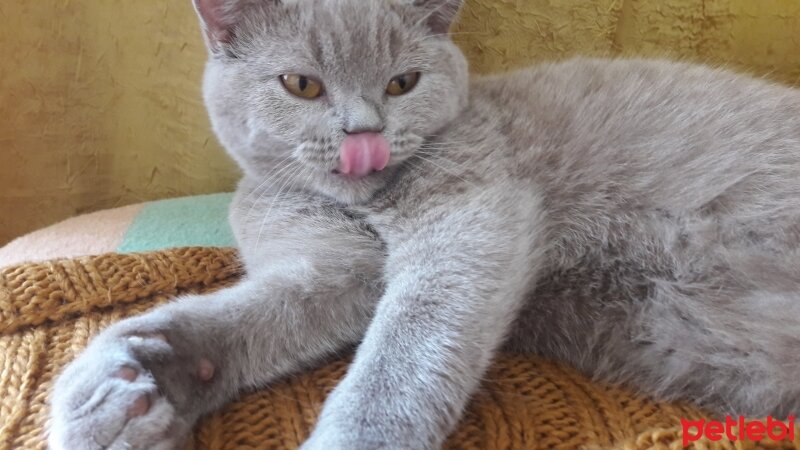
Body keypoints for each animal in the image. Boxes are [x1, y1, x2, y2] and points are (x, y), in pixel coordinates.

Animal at [47, 0, 800, 450]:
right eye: (302, 85)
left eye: (402, 83)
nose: (365, 134)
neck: (360, 206)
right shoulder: (335, 268)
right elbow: (251, 315)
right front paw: (124, 385)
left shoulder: (472, 215)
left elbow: (401, 351)